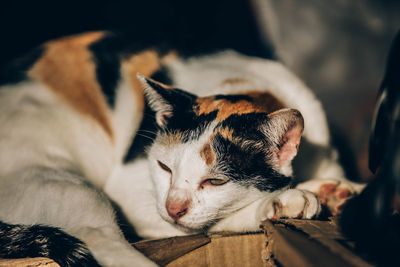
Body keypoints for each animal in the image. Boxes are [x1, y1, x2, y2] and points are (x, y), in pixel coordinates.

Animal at [0, 31, 362, 266]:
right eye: (164, 167)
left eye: (216, 181)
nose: (173, 207)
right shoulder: (130, 192)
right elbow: (211, 223)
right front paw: (282, 201)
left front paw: (339, 191)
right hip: (70, 186)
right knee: (102, 239)